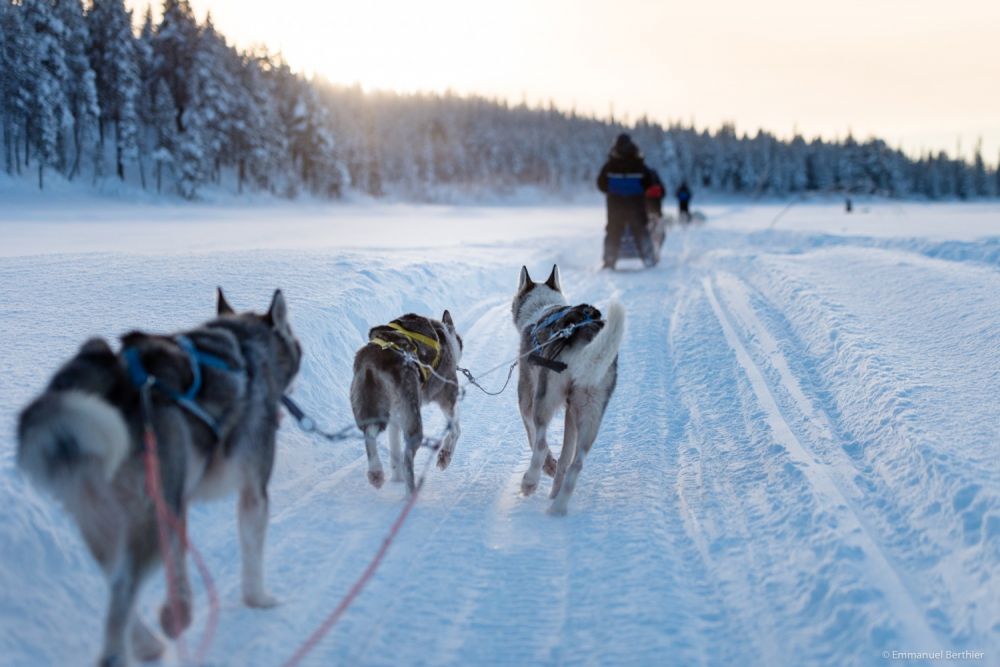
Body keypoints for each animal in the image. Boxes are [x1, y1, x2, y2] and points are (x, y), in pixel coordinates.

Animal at [16, 290, 300, 664]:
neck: (246, 345)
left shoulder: (179, 503)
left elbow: (178, 561)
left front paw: (178, 611)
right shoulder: (253, 490)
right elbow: (252, 556)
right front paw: (260, 600)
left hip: (107, 518)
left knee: (116, 579)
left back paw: (148, 644)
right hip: (149, 513)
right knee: (122, 589)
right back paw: (120, 654)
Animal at [350, 310, 462, 494]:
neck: (443, 334)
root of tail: (371, 365)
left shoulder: (395, 419)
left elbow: (394, 448)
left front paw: (396, 479)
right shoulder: (447, 394)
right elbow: (456, 430)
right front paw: (445, 456)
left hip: (370, 406)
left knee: (370, 433)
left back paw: (376, 473)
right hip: (413, 416)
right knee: (407, 457)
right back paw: (411, 491)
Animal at [512, 266, 620, 516]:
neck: (541, 308)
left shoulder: (526, 398)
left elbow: (534, 438)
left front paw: (545, 469)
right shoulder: (571, 410)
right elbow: (564, 456)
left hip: (544, 398)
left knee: (541, 445)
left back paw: (530, 482)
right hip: (590, 414)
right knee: (575, 464)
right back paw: (557, 506)